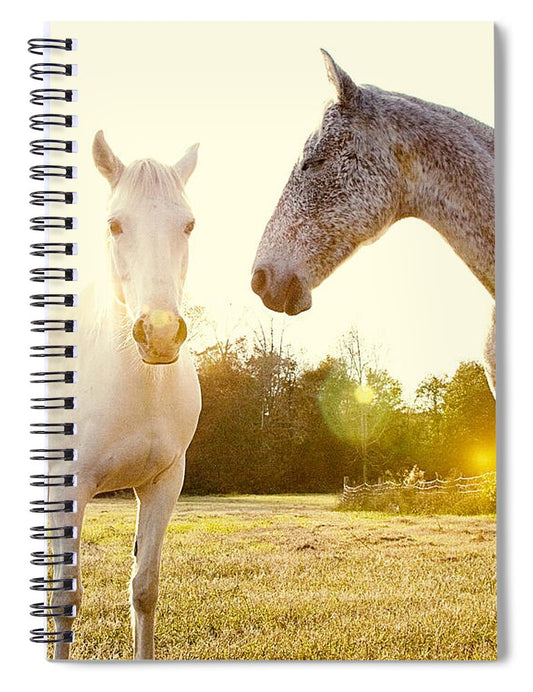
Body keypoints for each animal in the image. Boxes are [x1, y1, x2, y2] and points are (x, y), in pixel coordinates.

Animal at [47, 131, 202, 659]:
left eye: (187, 225)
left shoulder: (163, 484)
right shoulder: (71, 490)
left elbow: (144, 588)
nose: (160, 334)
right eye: (115, 224)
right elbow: (65, 598)